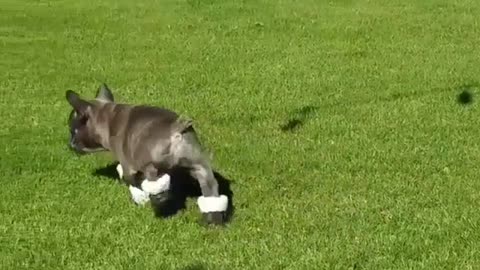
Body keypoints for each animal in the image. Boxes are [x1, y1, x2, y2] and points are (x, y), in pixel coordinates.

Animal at [65, 83, 229, 225]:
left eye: (73, 131)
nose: (70, 143)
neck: (107, 119)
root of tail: (176, 129)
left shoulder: (128, 166)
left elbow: (131, 181)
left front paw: (140, 199)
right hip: (200, 166)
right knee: (211, 189)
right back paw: (213, 219)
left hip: (151, 164)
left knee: (154, 181)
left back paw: (159, 201)